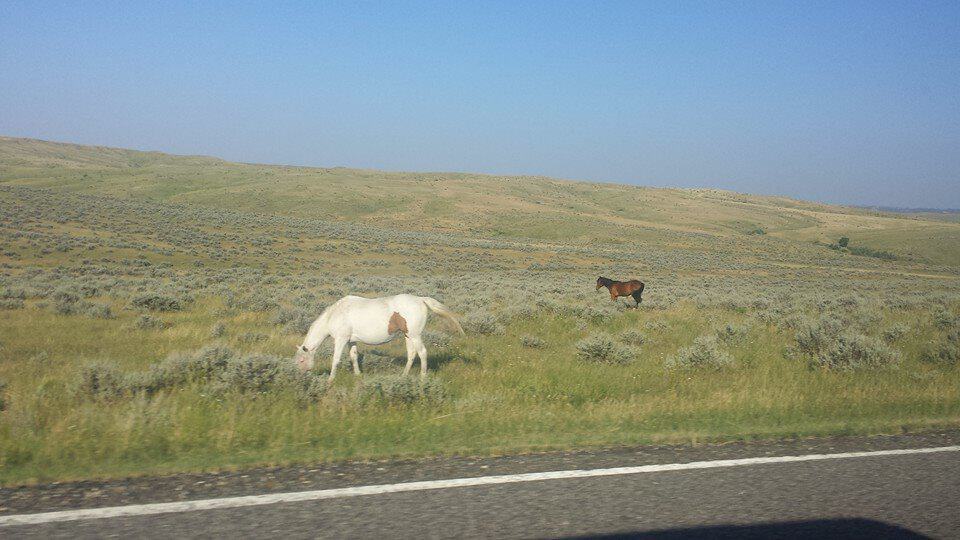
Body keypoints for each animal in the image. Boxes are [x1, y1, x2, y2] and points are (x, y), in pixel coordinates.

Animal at [294, 296, 464, 380]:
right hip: (408, 335)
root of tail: (421, 299)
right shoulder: (351, 341)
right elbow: (353, 357)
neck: (335, 314)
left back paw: (422, 377)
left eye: (301, 360)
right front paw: (358, 375)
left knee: (422, 353)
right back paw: (404, 375)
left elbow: (335, 359)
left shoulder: (341, 340)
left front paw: (330, 379)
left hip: (415, 335)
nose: (301, 376)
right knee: (412, 354)